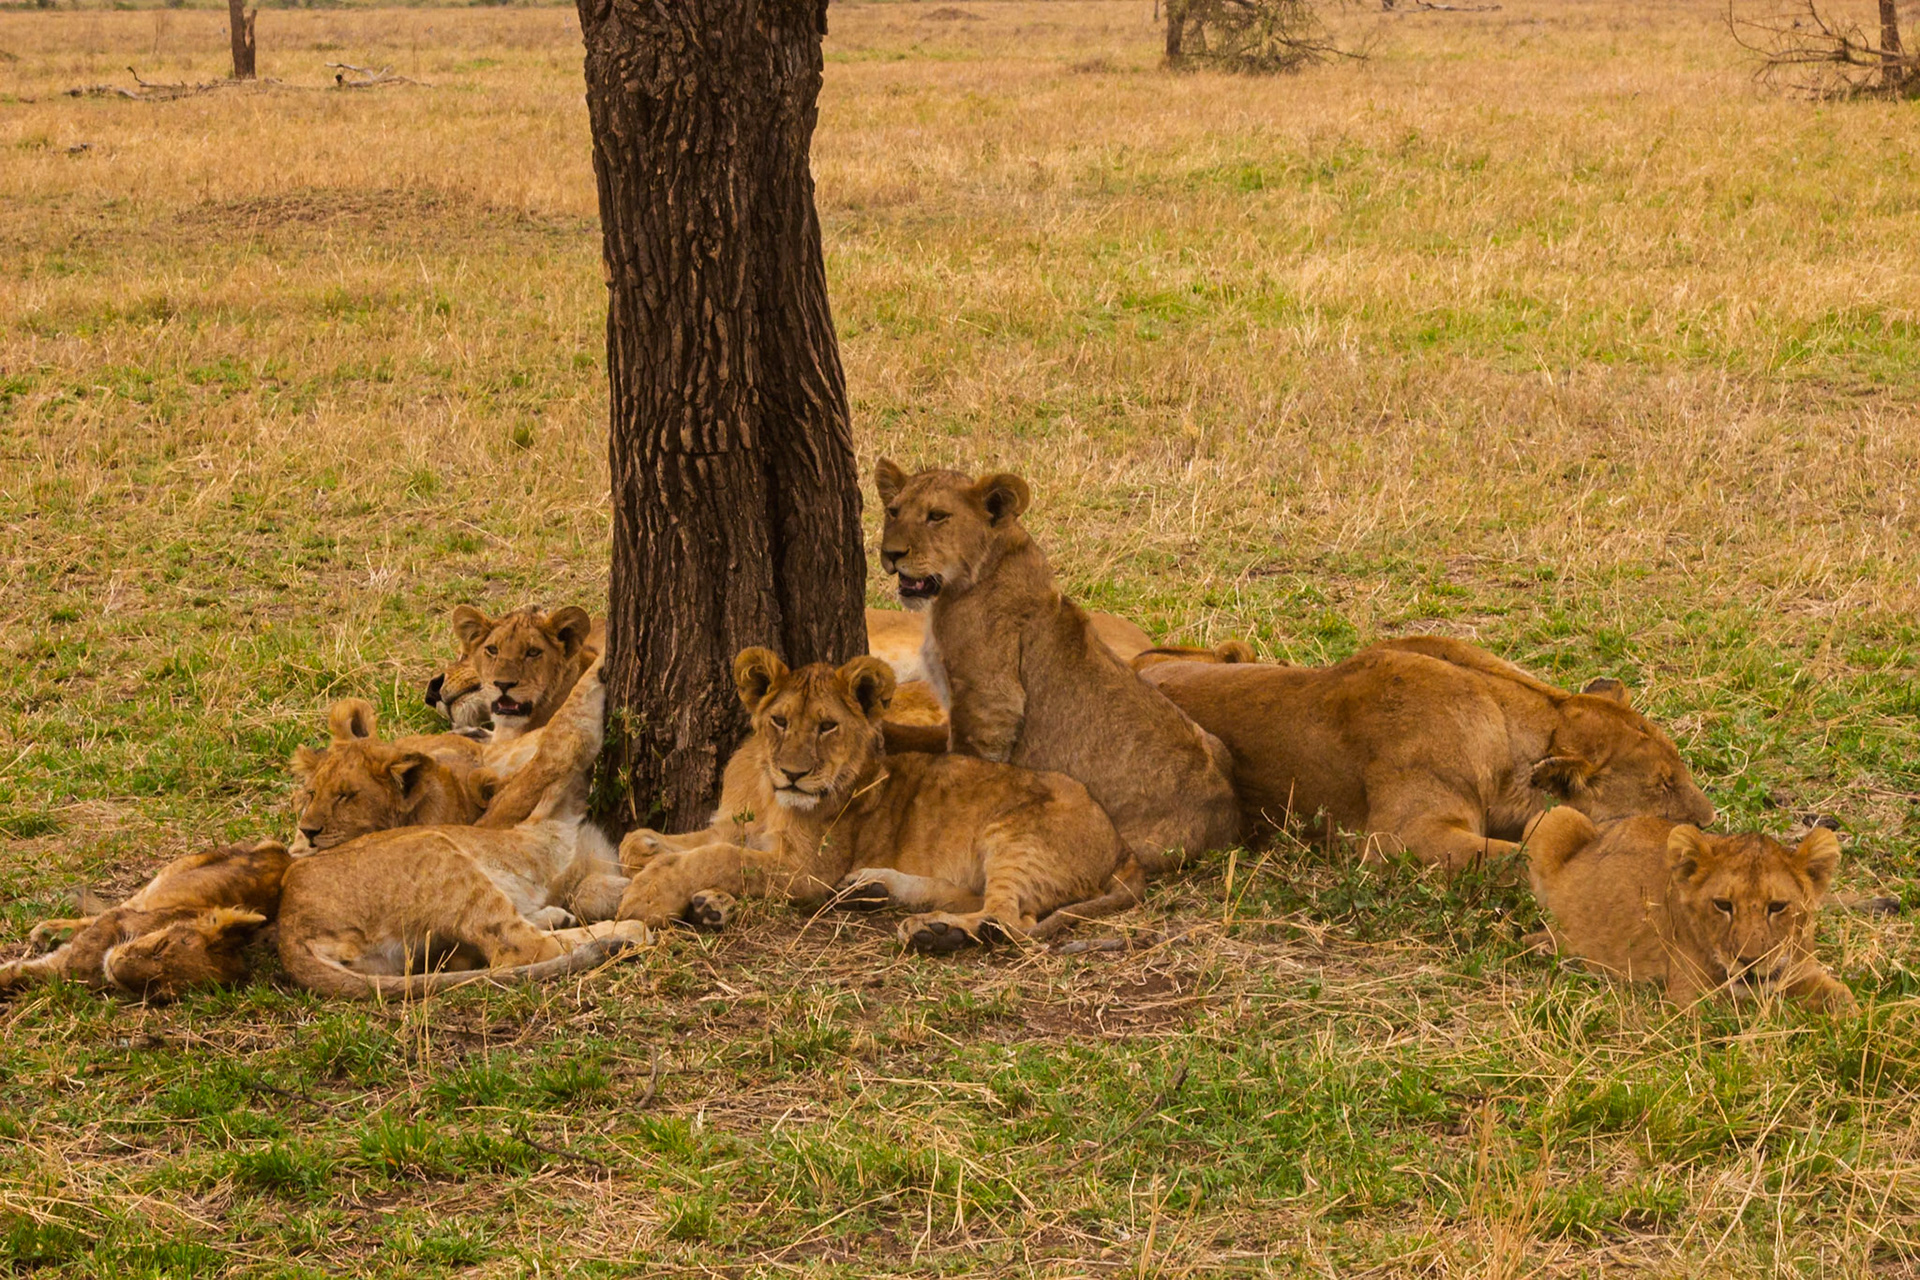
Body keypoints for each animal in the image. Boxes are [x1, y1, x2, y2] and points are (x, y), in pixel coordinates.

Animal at [1, 841, 290, 999]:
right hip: (172, 873)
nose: (115, 968)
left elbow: (30, 971)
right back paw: (47, 930)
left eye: (159, 991)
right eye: (160, 947)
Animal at [615, 649, 1143, 952]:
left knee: (1010, 920)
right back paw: (878, 891)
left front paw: (649, 893)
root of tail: (1122, 843)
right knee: (980, 899)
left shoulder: (807, 873)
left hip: (1014, 837)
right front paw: (654, 857)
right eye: (780, 720)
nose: (793, 774)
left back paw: (937, 933)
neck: (768, 794)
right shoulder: (735, 825)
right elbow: (652, 842)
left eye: (827, 726)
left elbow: (718, 857)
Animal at [872, 460, 1240, 875]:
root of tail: (1227, 823)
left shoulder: (990, 700)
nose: (891, 554)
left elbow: (967, 762)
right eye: (893, 511)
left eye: (937, 516)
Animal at [1524, 807, 1855, 1012]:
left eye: (1777, 906)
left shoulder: (1801, 971)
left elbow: (1846, 998)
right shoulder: (1691, 1000)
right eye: (1723, 905)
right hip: (1551, 817)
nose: (1748, 961)